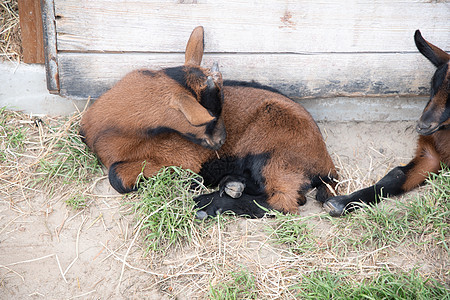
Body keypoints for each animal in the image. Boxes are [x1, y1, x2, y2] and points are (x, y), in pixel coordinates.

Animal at [80, 26, 338, 218]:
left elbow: (116, 176)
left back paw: (207, 205)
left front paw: (193, 182)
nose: (222, 141)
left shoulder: (181, 159)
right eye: (205, 120)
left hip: (275, 153)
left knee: (283, 201)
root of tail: (326, 162)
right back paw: (230, 185)